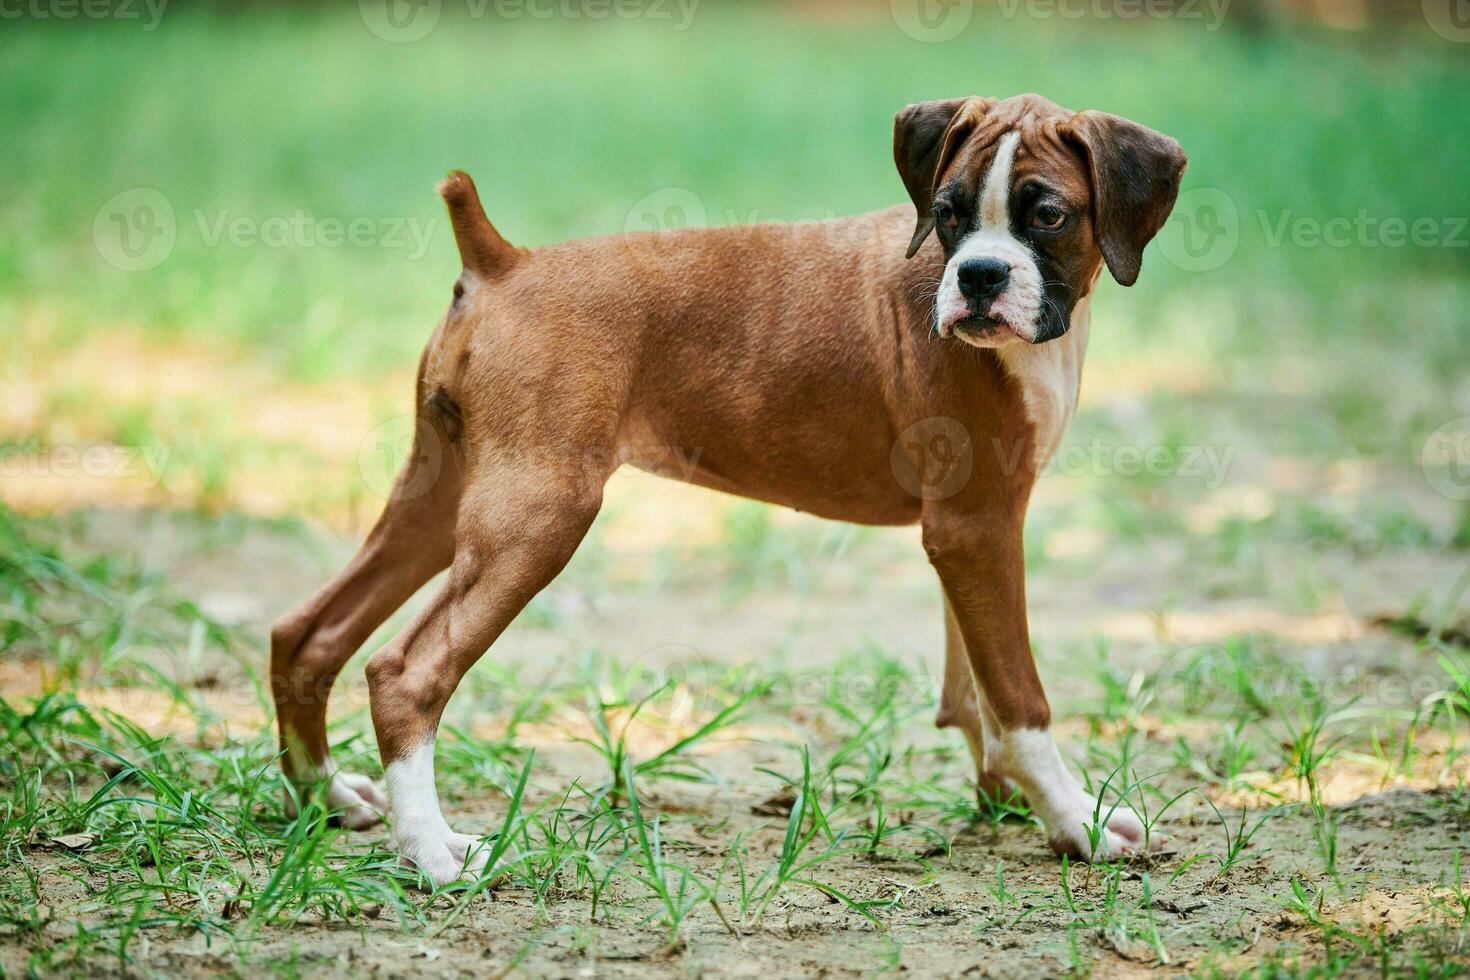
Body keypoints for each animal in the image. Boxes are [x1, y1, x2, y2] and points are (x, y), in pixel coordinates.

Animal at [270, 95, 1181, 887]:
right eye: (948, 211)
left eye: (1048, 215)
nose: (981, 276)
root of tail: (501, 262)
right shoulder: (977, 526)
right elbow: (1020, 699)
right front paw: (1075, 822)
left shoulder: (970, 537)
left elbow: (977, 685)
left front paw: (1010, 802)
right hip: (534, 518)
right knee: (404, 672)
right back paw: (432, 852)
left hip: (439, 502)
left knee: (307, 633)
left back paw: (329, 798)